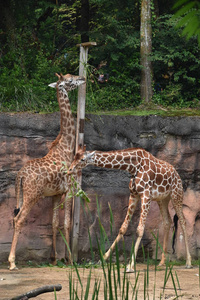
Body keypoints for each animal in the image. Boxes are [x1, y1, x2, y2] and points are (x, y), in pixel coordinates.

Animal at [8, 73, 85, 272]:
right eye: (70, 80)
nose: (82, 78)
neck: (67, 146)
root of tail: (20, 175)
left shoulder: (56, 193)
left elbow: (54, 223)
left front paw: (54, 259)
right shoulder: (70, 189)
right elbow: (66, 223)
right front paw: (70, 260)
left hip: (21, 194)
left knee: (14, 217)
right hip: (32, 195)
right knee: (19, 219)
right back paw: (12, 262)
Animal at [69, 146, 192, 274]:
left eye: (82, 159)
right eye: (74, 157)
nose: (70, 169)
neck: (133, 167)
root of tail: (177, 174)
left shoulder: (145, 195)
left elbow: (139, 230)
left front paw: (131, 265)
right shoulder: (133, 195)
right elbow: (122, 228)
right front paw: (103, 258)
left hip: (176, 195)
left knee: (183, 221)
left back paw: (188, 262)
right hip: (162, 199)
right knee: (167, 221)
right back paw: (162, 262)